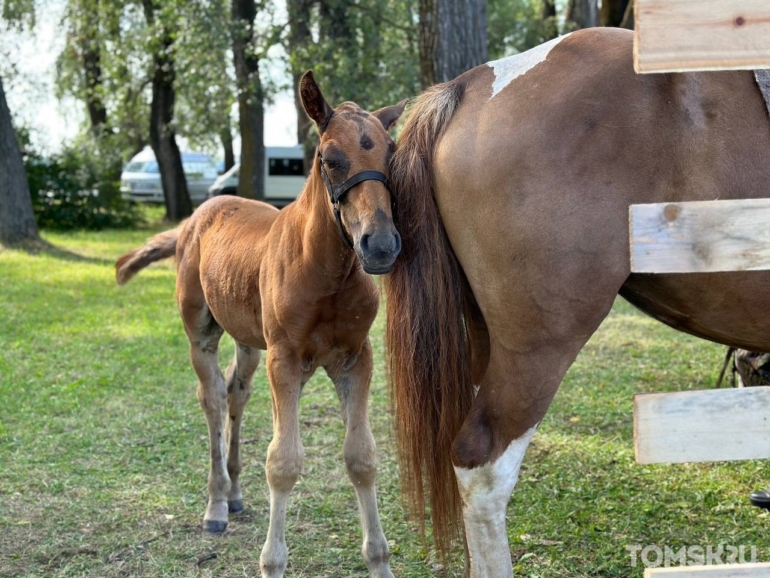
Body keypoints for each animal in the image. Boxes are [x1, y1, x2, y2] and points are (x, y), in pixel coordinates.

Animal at [115, 72, 402, 576]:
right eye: (330, 158)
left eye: (391, 152)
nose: (381, 245)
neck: (326, 271)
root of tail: (194, 219)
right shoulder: (285, 360)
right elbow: (283, 462)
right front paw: (272, 562)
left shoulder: (354, 358)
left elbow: (362, 457)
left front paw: (379, 562)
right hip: (202, 332)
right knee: (211, 397)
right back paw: (215, 507)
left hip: (249, 340)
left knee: (236, 391)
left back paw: (234, 495)